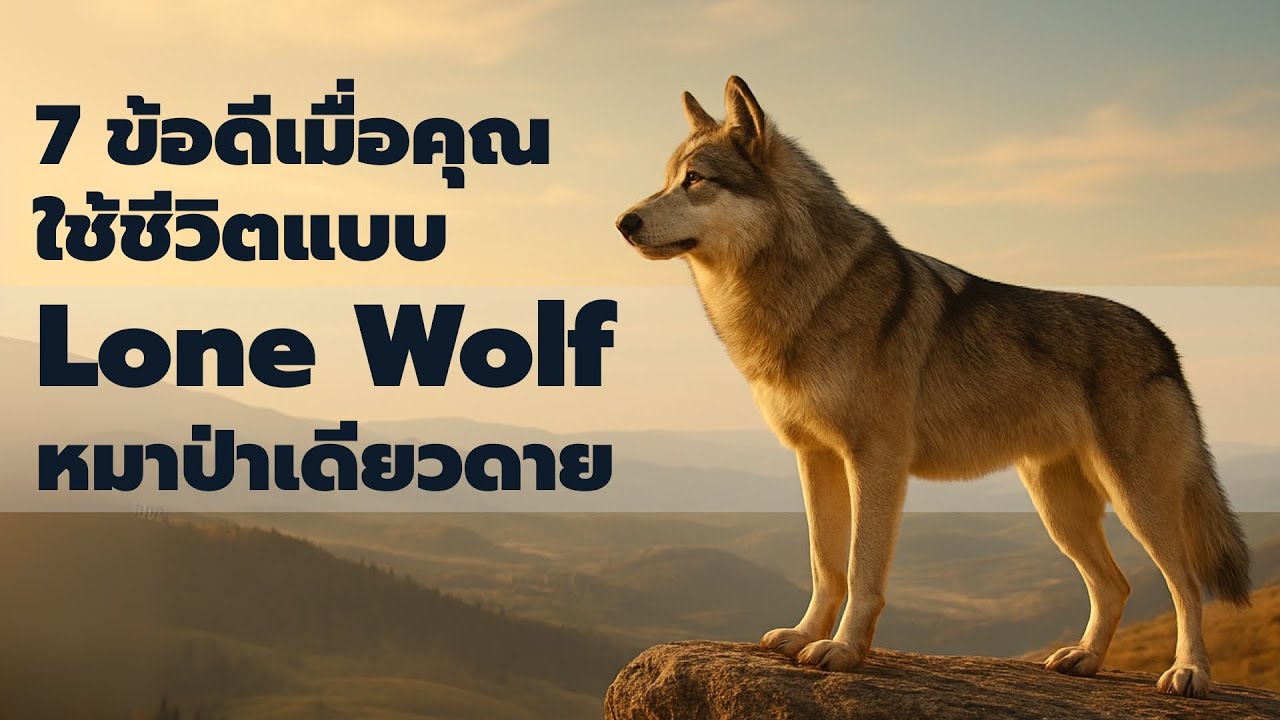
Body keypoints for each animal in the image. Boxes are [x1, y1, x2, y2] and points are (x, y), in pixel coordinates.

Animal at [615, 76, 1250, 698]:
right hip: (1058, 509)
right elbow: (825, 565)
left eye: (695, 180)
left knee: (1185, 586)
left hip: (1137, 500)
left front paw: (844, 652)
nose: (624, 222)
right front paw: (803, 636)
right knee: (1114, 585)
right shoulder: (814, 456)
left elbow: (862, 569)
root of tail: (1163, 340)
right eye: (667, 179)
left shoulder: (875, 460)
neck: (800, 293)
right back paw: (1085, 659)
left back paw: (1189, 673)